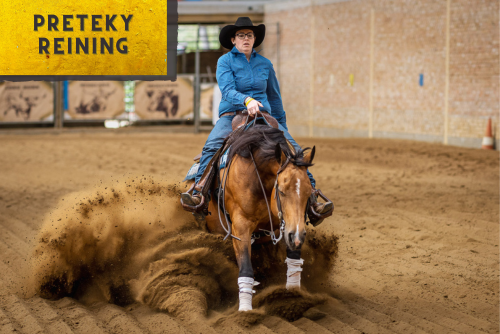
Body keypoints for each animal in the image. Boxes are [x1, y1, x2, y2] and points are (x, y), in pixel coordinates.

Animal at [181, 113, 332, 312]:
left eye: (309, 192)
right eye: (281, 191)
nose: (297, 237)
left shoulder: (289, 227)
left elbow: (293, 260)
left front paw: (293, 296)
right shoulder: (240, 227)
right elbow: (246, 267)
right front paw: (245, 310)